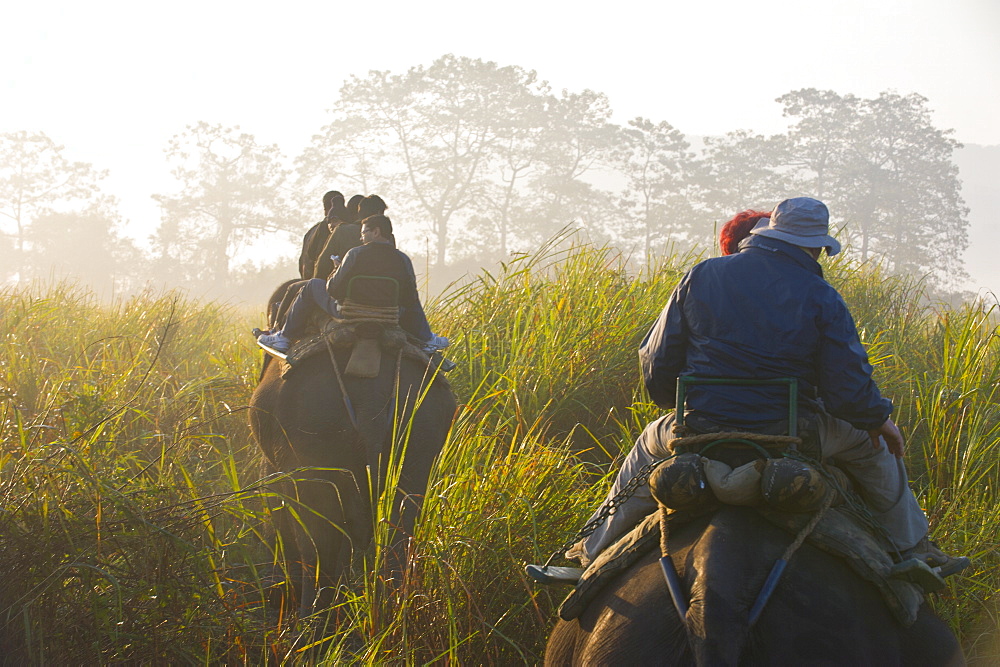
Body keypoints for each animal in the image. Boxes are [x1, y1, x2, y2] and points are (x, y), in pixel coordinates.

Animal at [250, 326, 458, 612]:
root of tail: (371, 398)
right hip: (423, 429)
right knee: (399, 533)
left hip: (312, 433)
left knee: (317, 543)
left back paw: (311, 617)